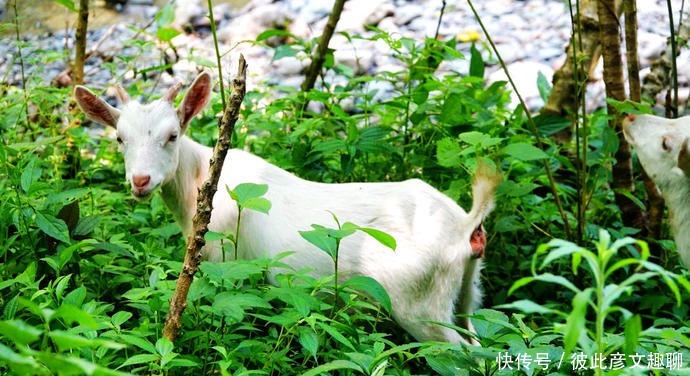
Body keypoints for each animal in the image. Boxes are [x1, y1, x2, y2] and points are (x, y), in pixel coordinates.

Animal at [74, 72, 500, 346]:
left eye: (172, 135)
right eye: (119, 138)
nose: (140, 181)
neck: (200, 181)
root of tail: (465, 225)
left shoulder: (222, 260)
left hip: (419, 305)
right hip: (466, 293)